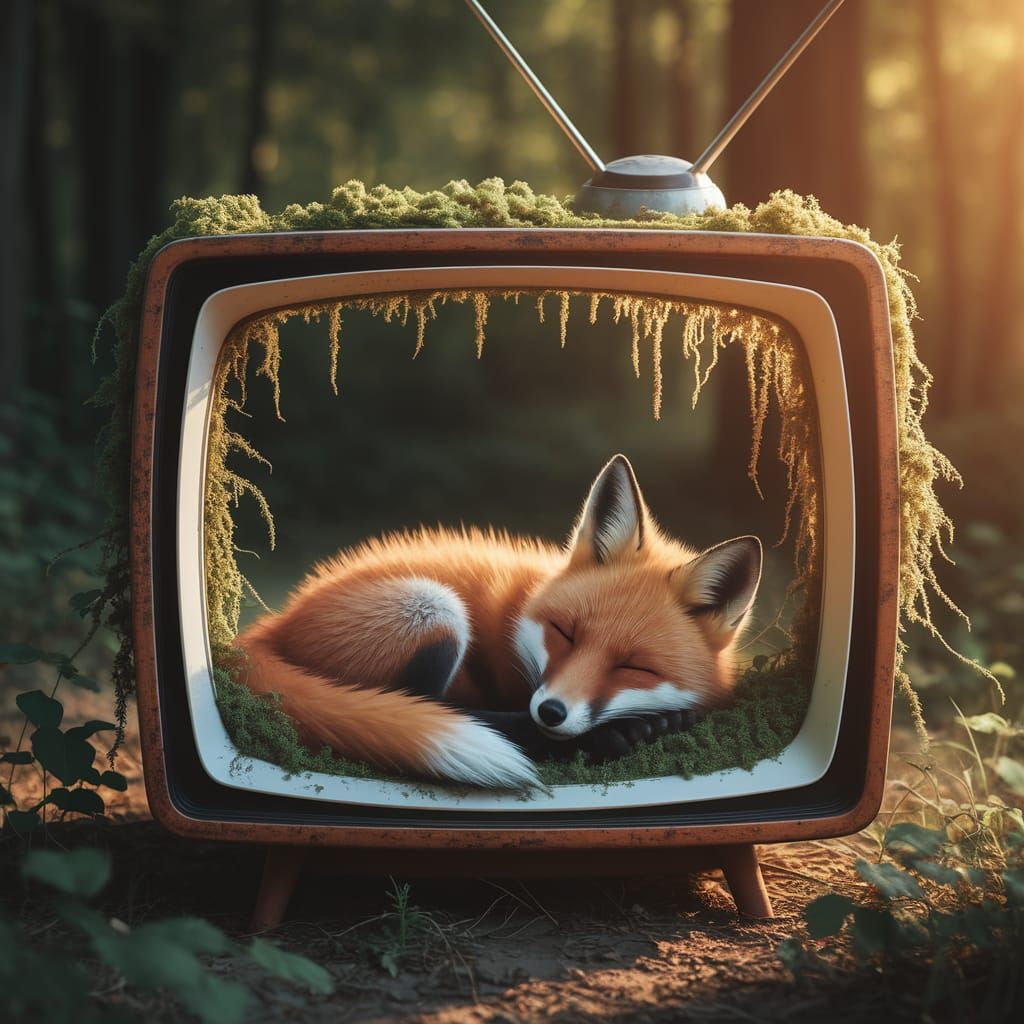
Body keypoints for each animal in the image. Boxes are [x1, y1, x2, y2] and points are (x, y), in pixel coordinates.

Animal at [233, 455, 763, 790]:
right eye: (566, 633)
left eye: (635, 667)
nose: (552, 712)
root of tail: (276, 621)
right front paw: (628, 731)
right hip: (433, 606)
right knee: (423, 702)